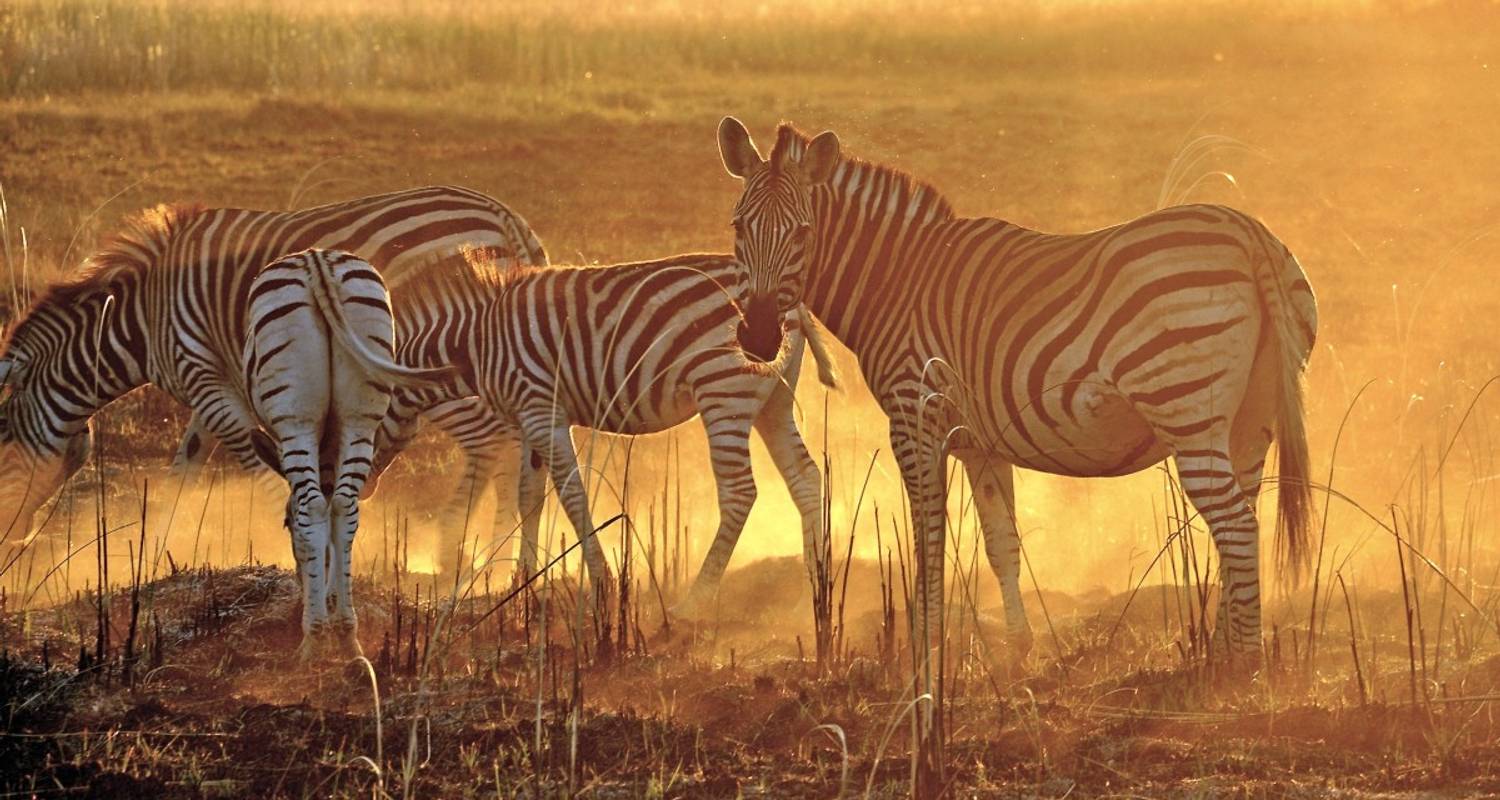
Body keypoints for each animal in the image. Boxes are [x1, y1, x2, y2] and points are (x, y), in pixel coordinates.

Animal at [0, 186, 549, 546]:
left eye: (1, 446)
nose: (14, 541)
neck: (144, 313)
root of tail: (506, 217)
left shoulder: (199, 372)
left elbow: (249, 456)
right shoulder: (217, 381)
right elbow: (185, 466)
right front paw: (158, 548)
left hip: (433, 364)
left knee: (492, 442)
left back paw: (455, 552)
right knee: (521, 453)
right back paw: (499, 563)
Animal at [240, 247, 447, 654]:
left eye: (284, 524)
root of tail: (316, 261)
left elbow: (312, 520)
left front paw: (320, 616)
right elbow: (336, 525)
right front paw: (337, 612)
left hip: (295, 415)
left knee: (314, 506)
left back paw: (313, 638)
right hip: (361, 413)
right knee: (344, 507)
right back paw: (351, 640)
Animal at [381, 252, 840, 609]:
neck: (476, 341)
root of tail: (794, 305)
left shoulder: (541, 409)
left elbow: (572, 495)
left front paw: (601, 578)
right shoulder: (527, 416)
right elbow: (529, 497)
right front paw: (521, 582)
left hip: (724, 391)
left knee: (740, 492)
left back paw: (696, 600)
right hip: (772, 403)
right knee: (805, 477)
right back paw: (811, 587)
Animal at [714, 118, 1314, 654]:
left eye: (803, 232)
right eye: (738, 227)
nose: (760, 334)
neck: (897, 281)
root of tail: (1248, 233)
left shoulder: (914, 417)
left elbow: (928, 540)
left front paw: (925, 653)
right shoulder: (980, 442)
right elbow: (1002, 543)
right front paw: (1019, 651)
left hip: (1188, 410)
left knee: (1236, 527)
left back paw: (1240, 664)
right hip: (1251, 419)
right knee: (1245, 522)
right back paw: (1221, 652)